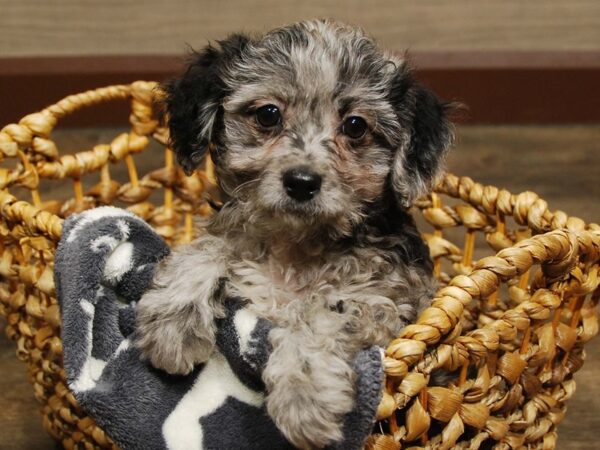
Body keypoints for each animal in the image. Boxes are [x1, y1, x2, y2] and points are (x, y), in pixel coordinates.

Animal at [137, 18, 454, 450]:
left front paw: (304, 395)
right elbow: (208, 247)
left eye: (356, 126)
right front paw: (174, 320)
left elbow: (318, 312)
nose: (302, 182)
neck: (297, 245)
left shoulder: (388, 304)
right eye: (268, 115)